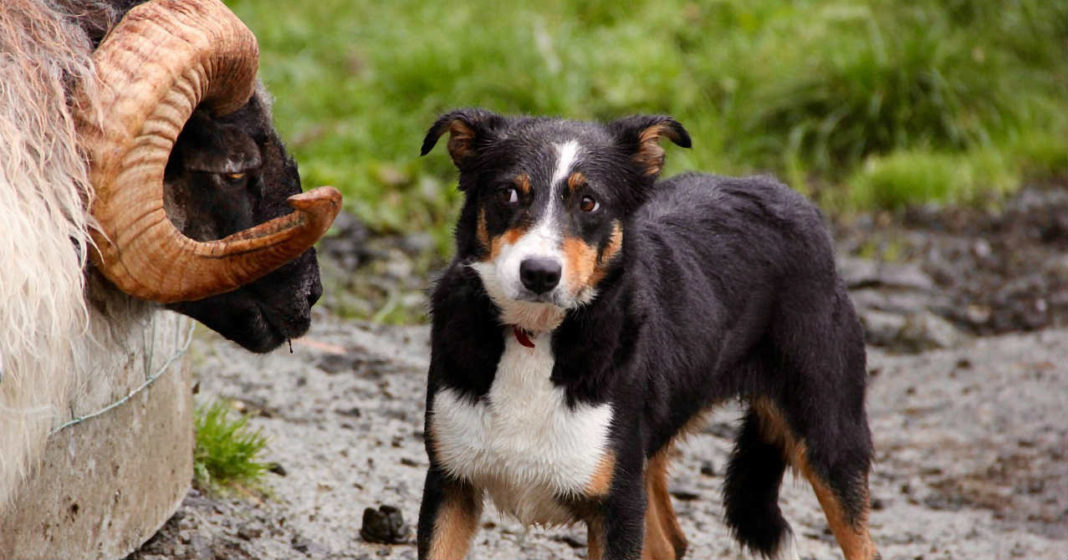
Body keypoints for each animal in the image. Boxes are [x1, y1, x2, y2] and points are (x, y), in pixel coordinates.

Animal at [416, 109, 875, 560]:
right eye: (508, 194)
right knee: (670, 542)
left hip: (829, 432)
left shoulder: (617, 504)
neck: (536, 334)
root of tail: (786, 193)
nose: (540, 274)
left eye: (589, 202)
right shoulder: (449, 485)